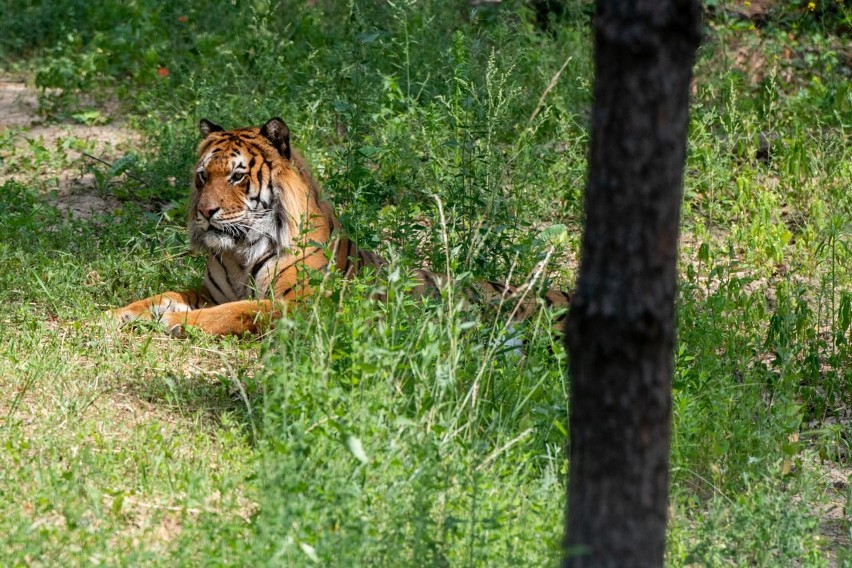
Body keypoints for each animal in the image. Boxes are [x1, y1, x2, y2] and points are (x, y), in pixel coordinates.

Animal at [110, 117, 568, 336]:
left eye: (238, 176)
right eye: (203, 176)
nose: (205, 213)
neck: (239, 254)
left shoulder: (300, 306)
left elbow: (234, 312)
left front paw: (175, 323)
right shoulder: (210, 291)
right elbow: (169, 294)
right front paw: (121, 312)